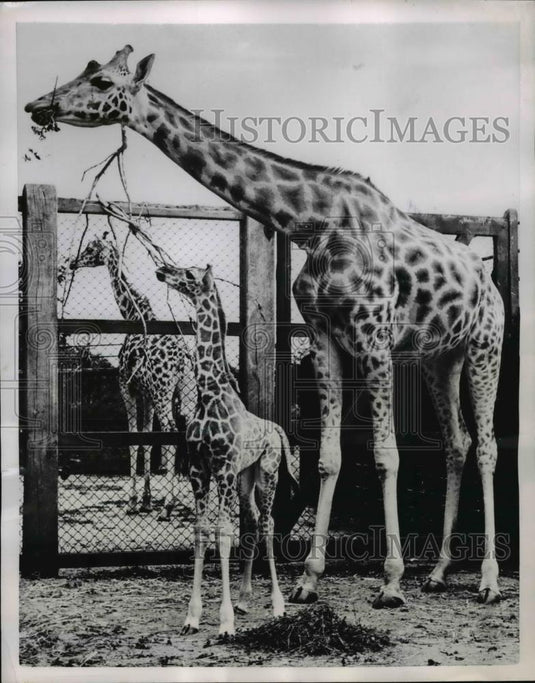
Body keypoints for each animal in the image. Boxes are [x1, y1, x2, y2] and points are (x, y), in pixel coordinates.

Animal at [70, 232, 196, 519]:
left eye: (90, 248)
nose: (72, 262)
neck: (133, 315)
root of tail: (183, 359)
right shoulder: (146, 393)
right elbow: (147, 440)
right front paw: (147, 501)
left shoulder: (126, 387)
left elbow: (133, 438)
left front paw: (133, 502)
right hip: (184, 392)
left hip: (164, 391)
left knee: (172, 431)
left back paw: (169, 506)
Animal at [156, 262, 297, 636]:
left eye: (190, 275)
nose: (163, 269)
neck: (209, 394)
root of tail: (278, 430)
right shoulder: (198, 469)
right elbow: (201, 532)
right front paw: (192, 617)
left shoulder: (223, 468)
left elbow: (222, 534)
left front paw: (225, 621)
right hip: (245, 479)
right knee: (251, 520)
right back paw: (246, 598)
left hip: (267, 473)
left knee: (268, 522)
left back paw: (277, 605)